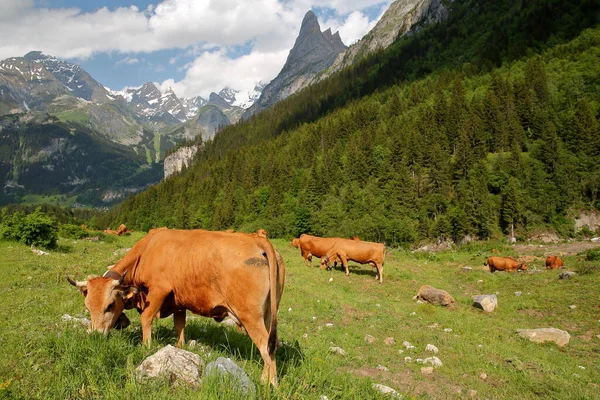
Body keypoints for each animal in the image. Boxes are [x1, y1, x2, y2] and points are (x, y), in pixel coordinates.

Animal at [67, 228, 288, 388]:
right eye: (87, 307)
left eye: (110, 305)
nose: (95, 335)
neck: (147, 250)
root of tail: (256, 239)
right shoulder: (179, 301)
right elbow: (179, 325)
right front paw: (180, 347)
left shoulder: (159, 290)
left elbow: (146, 318)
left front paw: (146, 346)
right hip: (268, 314)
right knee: (271, 344)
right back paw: (264, 378)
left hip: (250, 315)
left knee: (265, 346)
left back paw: (270, 384)